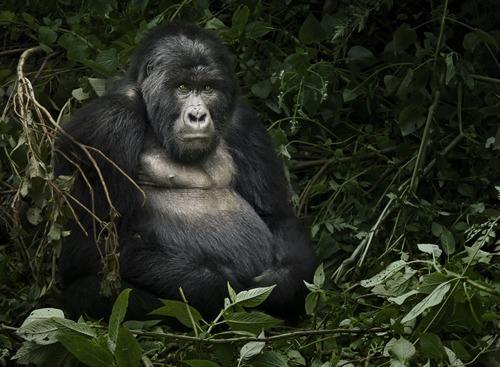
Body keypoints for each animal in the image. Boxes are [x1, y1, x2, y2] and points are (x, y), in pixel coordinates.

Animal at [55, 21, 320, 324]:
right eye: (182, 87)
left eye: (207, 88)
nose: (198, 116)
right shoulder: (107, 125)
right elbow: (90, 240)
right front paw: (215, 284)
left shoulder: (244, 122)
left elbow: (276, 215)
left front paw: (280, 285)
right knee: (92, 291)